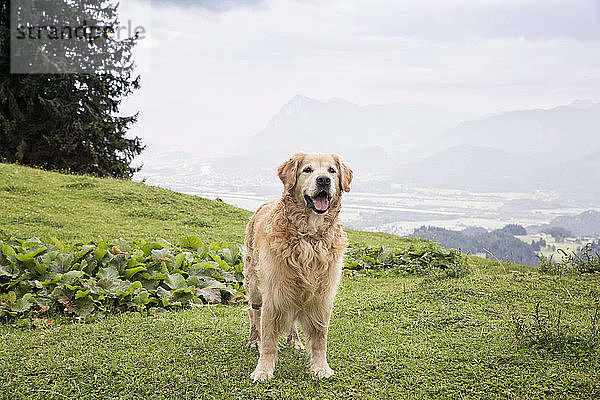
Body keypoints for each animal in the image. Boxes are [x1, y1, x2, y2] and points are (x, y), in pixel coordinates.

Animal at [243, 151, 352, 382]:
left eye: (332, 171)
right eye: (307, 170)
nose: (324, 180)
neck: (310, 236)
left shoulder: (322, 296)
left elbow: (320, 338)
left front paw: (321, 367)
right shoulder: (273, 293)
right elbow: (268, 340)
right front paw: (263, 370)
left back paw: (295, 341)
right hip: (255, 284)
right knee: (253, 313)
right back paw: (254, 340)